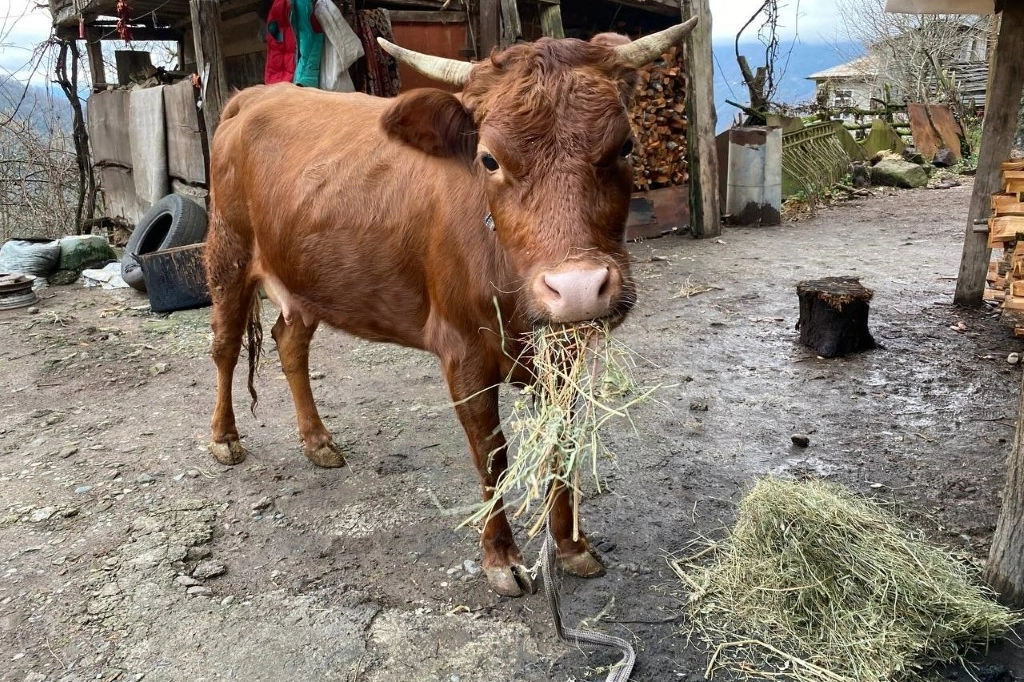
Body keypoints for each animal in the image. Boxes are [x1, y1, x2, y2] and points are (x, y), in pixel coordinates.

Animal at [201, 19, 696, 593]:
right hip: (229, 252)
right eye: (489, 158)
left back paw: (318, 441)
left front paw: (570, 545)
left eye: (626, 145)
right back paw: (224, 437)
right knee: (225, 346)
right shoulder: (462, 354)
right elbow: (491, 455)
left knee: (289, 344)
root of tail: (255, 96)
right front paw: (501, 558)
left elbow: (562, 444)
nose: (576, 288)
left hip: (306, 280)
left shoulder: (562, 353)